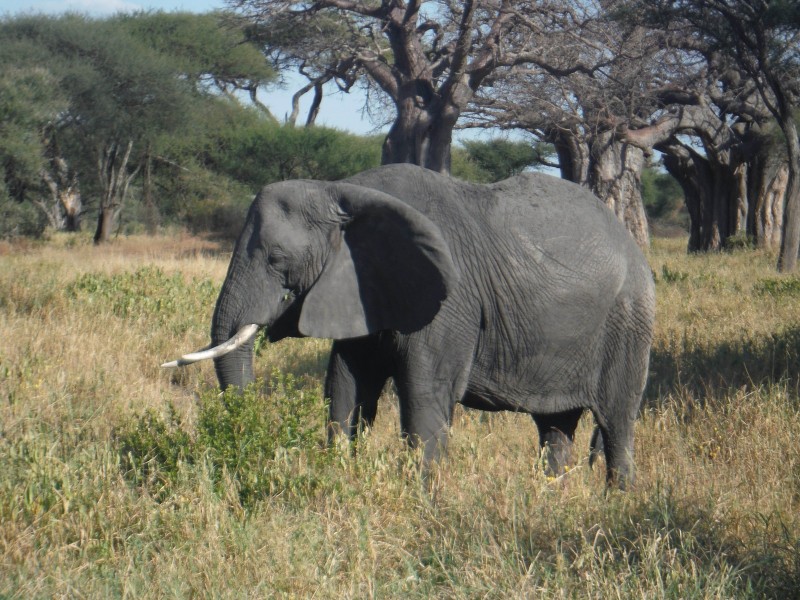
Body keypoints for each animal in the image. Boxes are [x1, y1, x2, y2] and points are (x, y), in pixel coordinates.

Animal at [163, 164, 655, 488]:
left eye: (276, 259)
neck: (340, 191)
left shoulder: (449, 300)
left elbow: (423, 392)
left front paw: (423, 499)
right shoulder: (362, 286)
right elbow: (348, 384)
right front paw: (340, 477)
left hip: (629, 320)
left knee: (616, 421)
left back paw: (616, 501)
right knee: (555, 426)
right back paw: (549, 497)